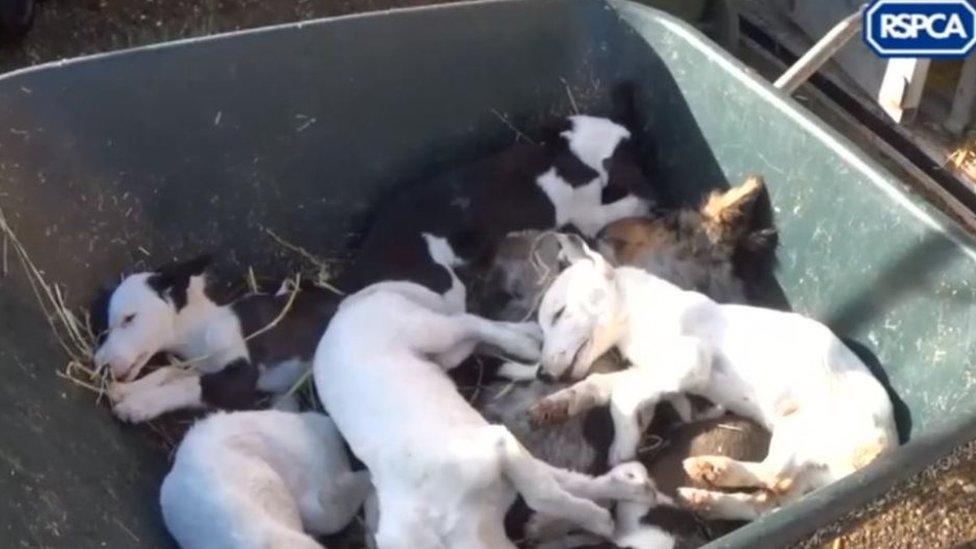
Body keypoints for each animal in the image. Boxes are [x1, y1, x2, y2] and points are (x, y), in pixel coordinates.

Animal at [92, 255, 336, 422]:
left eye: (129, 318)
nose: (100, 366)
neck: (204, 327)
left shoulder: (243, 374)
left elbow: (190, 384)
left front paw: (138, 404)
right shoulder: (203, 365)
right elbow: (170, 371)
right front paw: (127, 390)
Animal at [312, 282, 656, 548]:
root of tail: (346, 309)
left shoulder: (497, 442)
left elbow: (544, 492)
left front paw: (601, 517)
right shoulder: (510, 457)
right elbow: (562, 481)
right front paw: (626, 495)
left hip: (425, 332)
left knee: (467, 322)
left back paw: (524, 343)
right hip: (447, 355)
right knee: (471, 333)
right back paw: (527, 337)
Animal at [528, 234, 896, 520]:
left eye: (559, 314)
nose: (542, 374)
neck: (640, 313)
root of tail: (885, 447)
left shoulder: (689, 360)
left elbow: (623, 394)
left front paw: (623, 444)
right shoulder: (656, 374)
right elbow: (602, 384)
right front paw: (558, 404)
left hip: (799, 424)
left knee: (772, 475)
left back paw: (713, 469)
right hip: (809, 474)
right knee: (767, 499)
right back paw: (706, 499)